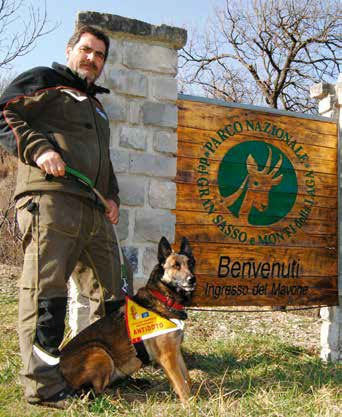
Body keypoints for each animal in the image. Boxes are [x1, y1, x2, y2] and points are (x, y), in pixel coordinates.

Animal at [60, 237, 196, 404]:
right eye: (176, 265)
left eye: (191, 263)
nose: (192, 279)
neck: (165, 298)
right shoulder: (167, 357)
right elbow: (181, 385)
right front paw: (190, 404)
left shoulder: (176, 351)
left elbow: (187, 379)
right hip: (100, 352)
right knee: (95, 392)